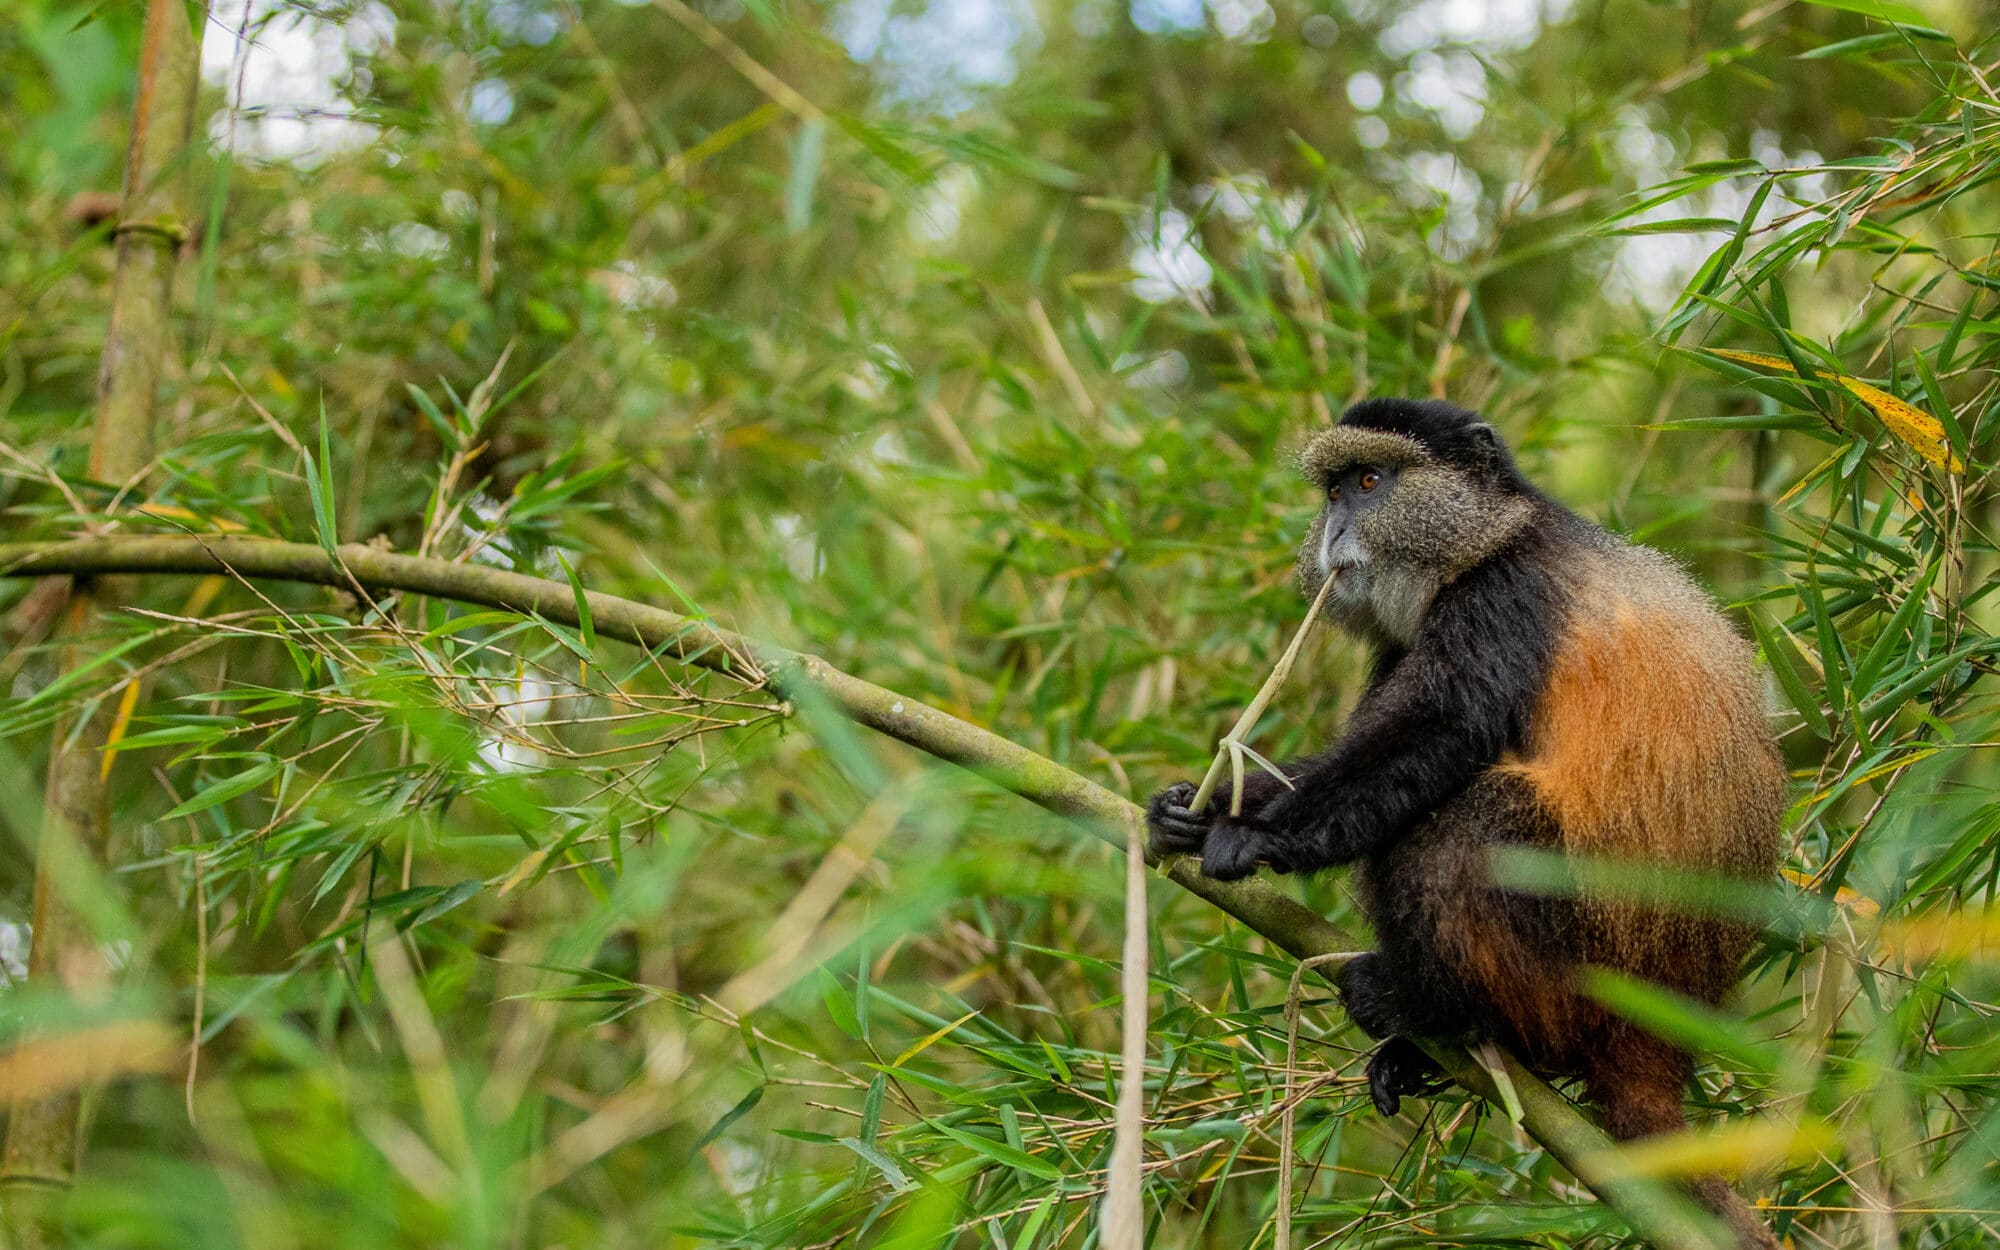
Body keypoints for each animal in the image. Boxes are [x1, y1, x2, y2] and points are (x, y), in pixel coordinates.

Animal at [1147, 398, 1785, 1249]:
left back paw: (1433, 1006)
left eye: (1370, 481)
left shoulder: (1501, 600)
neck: (1493, 535)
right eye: (1332, 491)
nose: (1334, 531)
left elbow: (1437, 728)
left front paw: (1254, 833)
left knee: (1471, 820)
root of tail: (1662, 1044)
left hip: (1585, 963)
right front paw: (1191, 808)